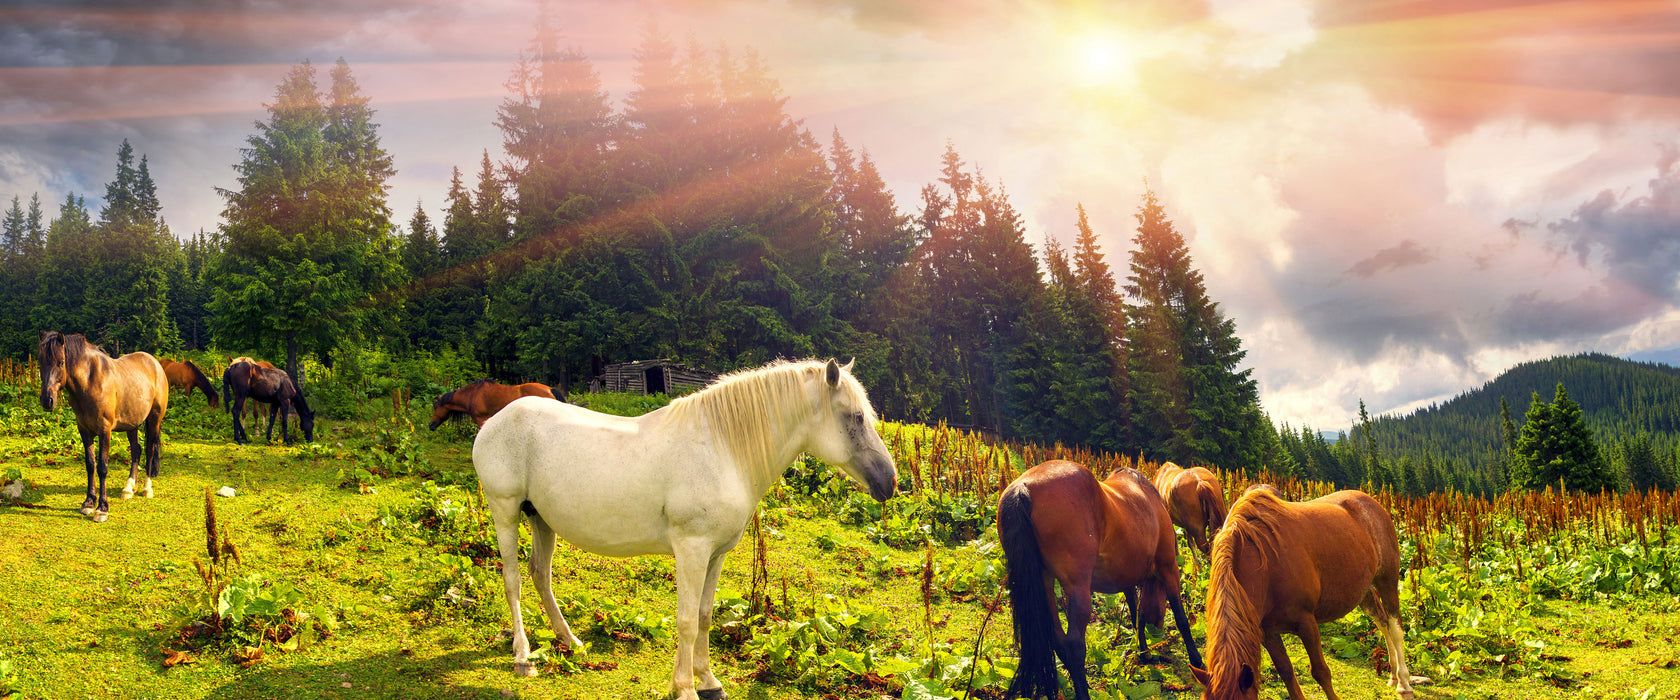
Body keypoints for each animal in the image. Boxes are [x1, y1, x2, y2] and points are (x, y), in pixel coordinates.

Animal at [37, 330, 170, 520]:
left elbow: (102, 467)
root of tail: (155, 364)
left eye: (61, 362)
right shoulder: (84, 430)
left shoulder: (105, 430)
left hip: (154, 419)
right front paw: (88, 503)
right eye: (41, 361)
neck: (91, 382)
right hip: (132, 424)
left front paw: (102, 508)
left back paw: (147, 488)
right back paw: (128, 488)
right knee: (136, 450)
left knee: (150, 450)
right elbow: (90, 464)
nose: (47, 400)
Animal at [467, 359, 900, 698]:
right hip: (505, 510)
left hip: (540, 517)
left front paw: (708, 681)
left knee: (541, 575)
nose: (890, 482)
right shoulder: (692, 549)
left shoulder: (716, 554)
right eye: (856, 417)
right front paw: (686, 688)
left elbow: (705, 616)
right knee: (513, 580)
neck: (723, 449)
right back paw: (523, 656)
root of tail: (496, 421)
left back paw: (570, 642)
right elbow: (687, 621)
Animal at [994, 456, 1209, 698]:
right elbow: (1181, 618)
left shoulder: (1127, 578)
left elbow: (1137, 615)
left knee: (1058, 640)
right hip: (1078, 588)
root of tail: (1023, 487)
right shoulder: (1169, 567)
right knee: (1074, 645)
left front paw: (1143, 653)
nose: (1159, 625)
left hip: (1045, 581)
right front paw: (1196, 661)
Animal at [1189, 486, 1424, 698]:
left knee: (1395, 627)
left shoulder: (1306, 622)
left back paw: (1404, 684)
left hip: (1387, 580)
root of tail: (1372, 504)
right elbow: (1286, 672)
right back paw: (1393, 675)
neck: (1264, 563)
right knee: (1382, 622)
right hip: (1363, 591)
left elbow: (1321, 672)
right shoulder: (1267, 632)